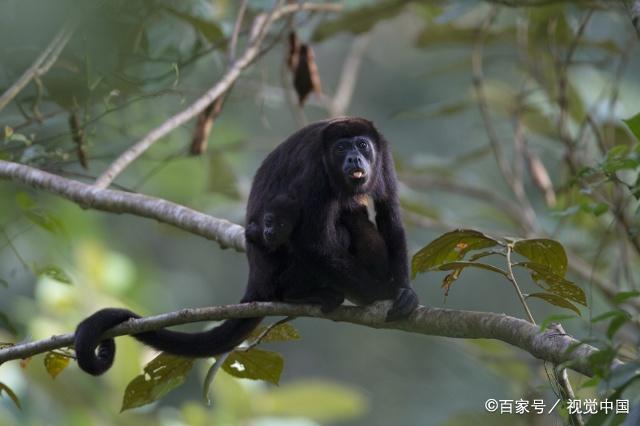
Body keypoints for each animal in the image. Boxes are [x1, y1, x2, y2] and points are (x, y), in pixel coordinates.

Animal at [74, 117, 420, 376]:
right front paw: (381, 292)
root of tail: (256, 278)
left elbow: (390, 218)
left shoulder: (385, 159)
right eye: (340, 148)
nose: (354, 158)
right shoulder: (315, 172)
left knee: (357, 219)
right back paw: (302, 295)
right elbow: (314, 242)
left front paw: (403, 291)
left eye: (362, 145)